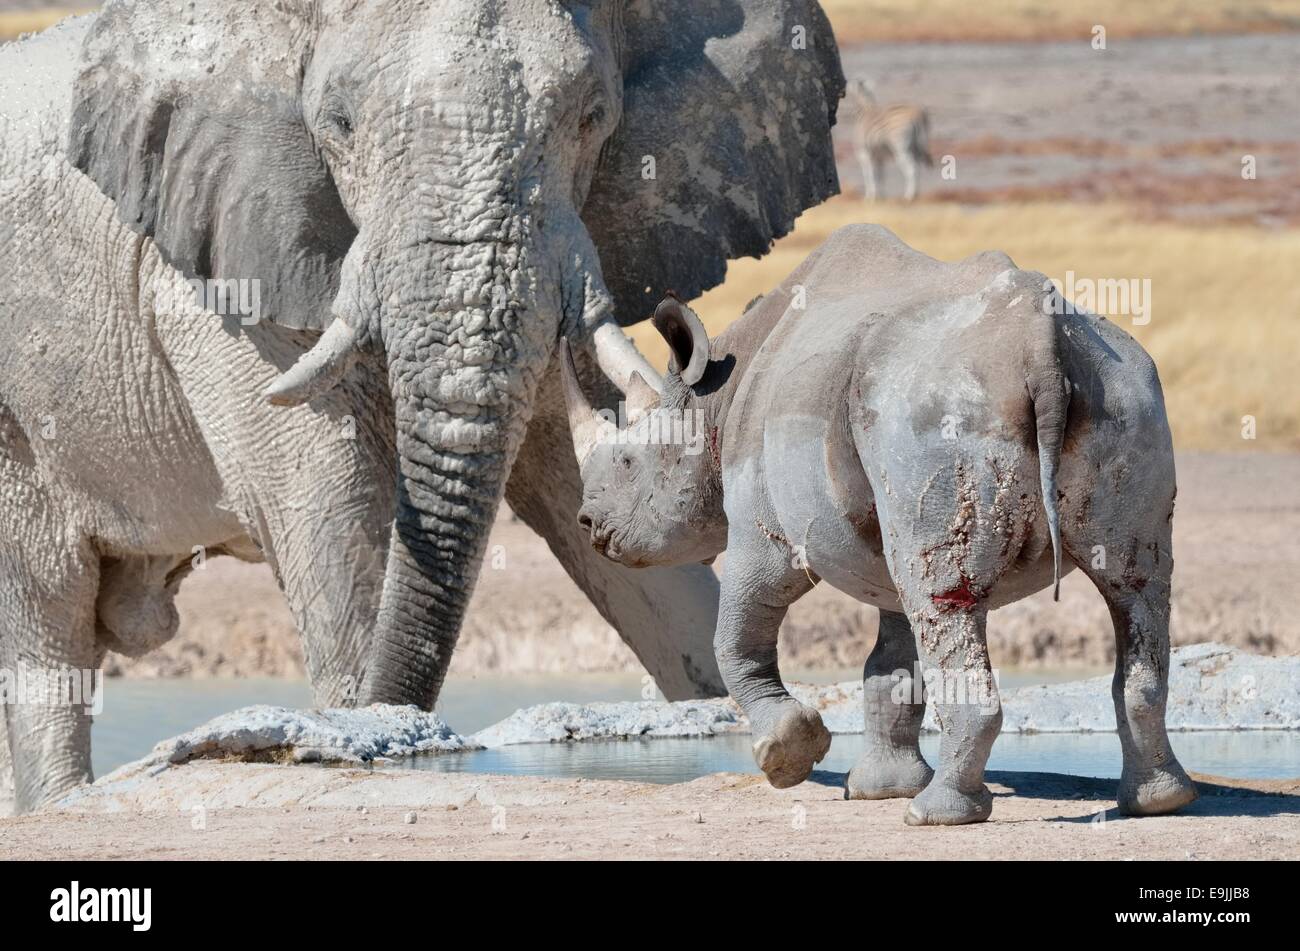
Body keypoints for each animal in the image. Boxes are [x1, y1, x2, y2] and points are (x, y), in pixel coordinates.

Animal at [0, 0, 842, 815]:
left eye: (593, 116)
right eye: (337, 124)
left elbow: (633, 555)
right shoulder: (217, 271)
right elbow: (333, 519)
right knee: (49, 628)